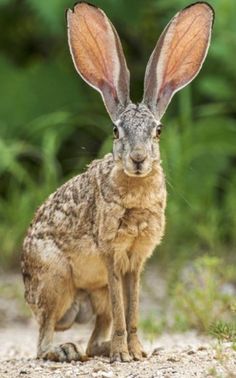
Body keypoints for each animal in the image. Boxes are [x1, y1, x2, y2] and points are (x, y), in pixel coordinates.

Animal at [21, 2, 215, 364]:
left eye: (158, 131)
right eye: (115, 131)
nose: (138, 159)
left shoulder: (136, 261)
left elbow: (132, 306)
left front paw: (137, 352)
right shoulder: (111, 253)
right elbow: (122, 304)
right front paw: (124, 355)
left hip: (92, 295)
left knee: (96, 334)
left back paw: (107, 349)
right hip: (55, 281)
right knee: (44, 337)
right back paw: (66, 350)